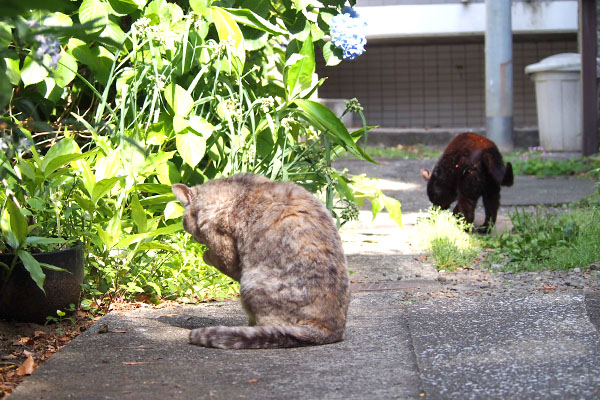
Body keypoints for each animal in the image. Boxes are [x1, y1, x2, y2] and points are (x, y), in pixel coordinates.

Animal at [173, 173, 350, 348]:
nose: (195, 239)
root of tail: (331, 328)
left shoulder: (223, 246)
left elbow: (218, 258)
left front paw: (205, 255)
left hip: (251, 285)